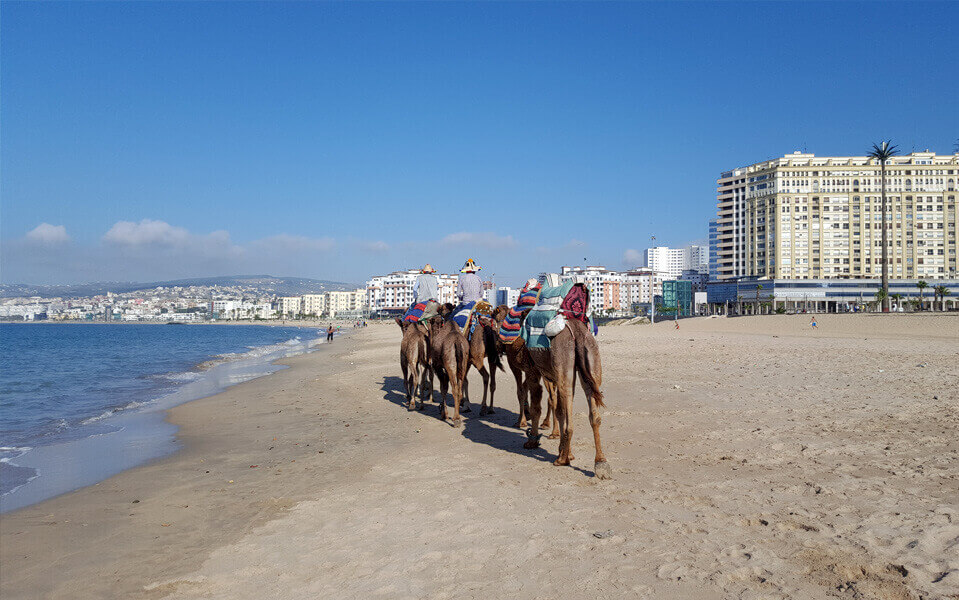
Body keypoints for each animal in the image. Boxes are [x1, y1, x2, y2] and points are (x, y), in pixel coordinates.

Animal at [520, 316, 612, 480]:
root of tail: (577, 332)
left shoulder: (534, 370)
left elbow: (538, 407)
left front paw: (533, 441)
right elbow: (559, 410)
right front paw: (566, 451)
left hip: (563, 363)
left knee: (568, 414)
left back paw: (562, 460)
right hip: (591, 362)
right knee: (594, 415)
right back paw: (601, 463)